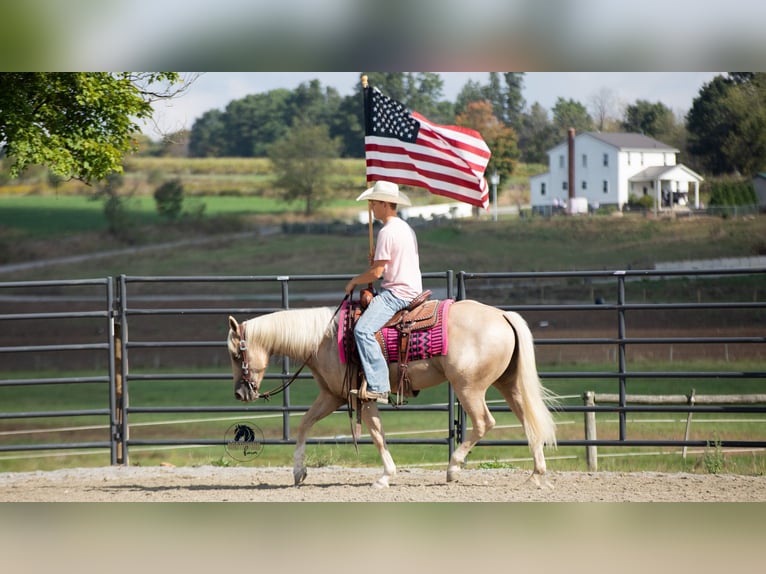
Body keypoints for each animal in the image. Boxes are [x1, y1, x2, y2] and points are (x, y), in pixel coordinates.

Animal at [226, 299, 557, 489]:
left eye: (235, 353)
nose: (240, 393)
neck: (324, 339)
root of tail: (503, 315)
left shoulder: (361, 396)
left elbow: (375, 434)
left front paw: (385, 476)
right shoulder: (334, 395)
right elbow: (304, 424)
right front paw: (298, 472)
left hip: (469, 387)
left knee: (484, 423)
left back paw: (453, 468)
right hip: (508, 383)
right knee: (528, 422)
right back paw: (536, 475)